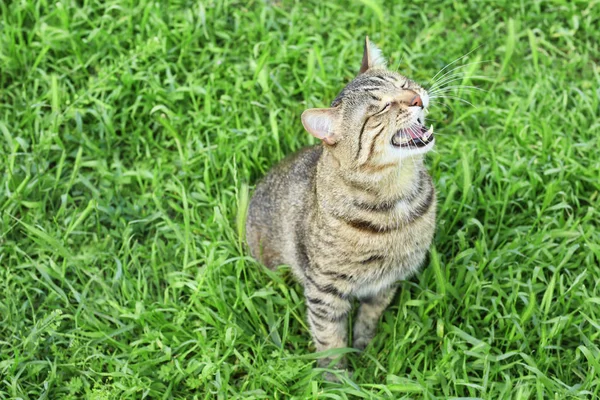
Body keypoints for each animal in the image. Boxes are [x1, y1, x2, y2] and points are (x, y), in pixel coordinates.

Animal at [244, 36, 436, 374]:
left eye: (404, 83)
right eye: (381, 108)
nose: (417, 99)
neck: (395, 195)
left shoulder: (387, 281)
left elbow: (369, 318)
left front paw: (364, 347)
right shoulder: (324, 289)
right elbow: (329, 339)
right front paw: (338, 378)